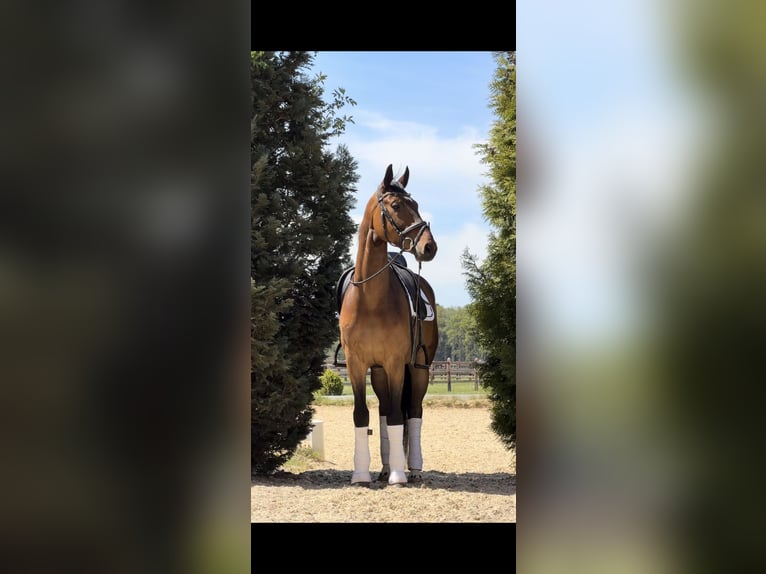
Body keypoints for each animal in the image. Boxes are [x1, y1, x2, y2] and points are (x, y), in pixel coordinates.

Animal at [337, 164, 439, 486]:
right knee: (383, 411)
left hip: (419, 369)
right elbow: (362, 415)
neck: (370, 298)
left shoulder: (395, 363)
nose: (429, 246)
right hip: (380, 371)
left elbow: (398, 416)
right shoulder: (358, 365)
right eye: (396, 206)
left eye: (415, 204)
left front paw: (398, 474)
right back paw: (382, 467)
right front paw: (360, 474)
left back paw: (413, 468)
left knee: (414, 411)